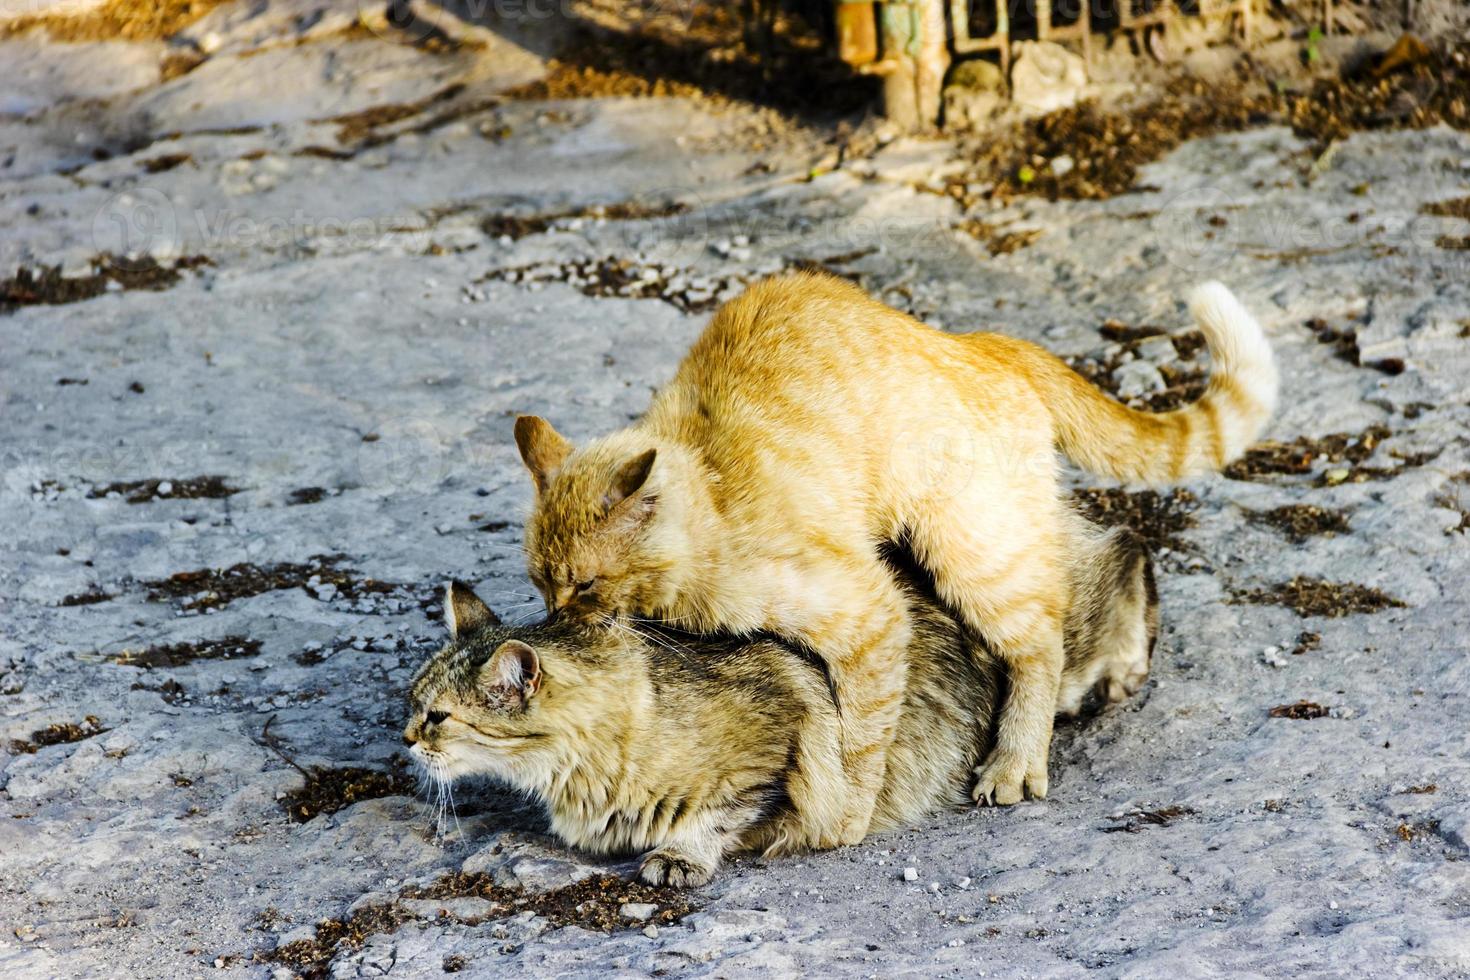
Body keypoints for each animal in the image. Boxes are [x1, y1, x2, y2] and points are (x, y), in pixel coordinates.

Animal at [514, 271, 1275, 840]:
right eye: (542, 584)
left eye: (585, 584)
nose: (557, 623)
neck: (712, 500)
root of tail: (979, 341)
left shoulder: (871, 615)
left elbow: (859, 740)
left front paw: (844, 820)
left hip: (968, 552)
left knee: (1047, 637)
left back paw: (1017, 762)